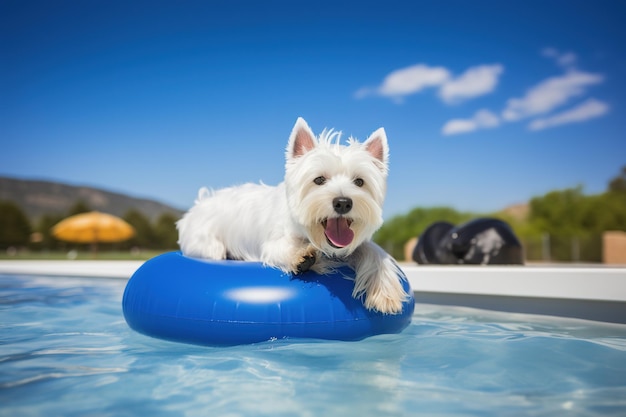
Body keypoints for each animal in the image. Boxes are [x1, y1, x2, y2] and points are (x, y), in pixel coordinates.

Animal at [178, 117, 408, 312]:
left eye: (359, 182)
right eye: (319, 180)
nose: (343, 203)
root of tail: (200, 203)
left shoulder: (354, 246)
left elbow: (376, 253)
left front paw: (385, 292)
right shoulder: (273, 243)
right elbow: (287, 247)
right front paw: (304, 257)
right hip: (208, 245)